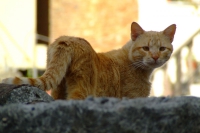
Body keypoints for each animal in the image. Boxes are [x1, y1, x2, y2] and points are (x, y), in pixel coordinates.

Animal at [1, 21, 177, 99]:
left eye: (162, 49)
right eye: (146, 48)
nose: (155, 57)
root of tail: (68, 40)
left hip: (59, 88)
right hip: (82, 89)